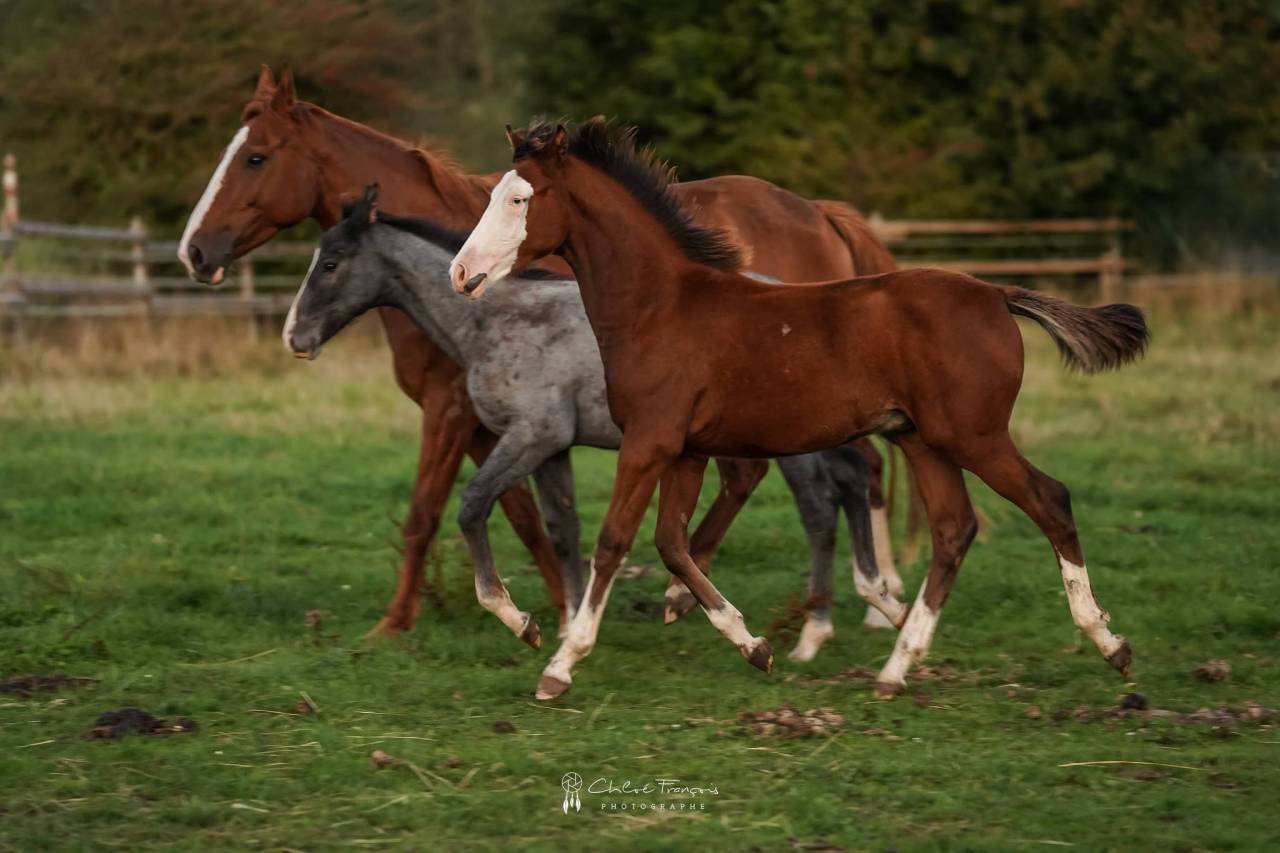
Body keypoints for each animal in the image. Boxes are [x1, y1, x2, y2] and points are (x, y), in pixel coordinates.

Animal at [282, 184, 890, 662]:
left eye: (331, 263)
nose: (295, 336)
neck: (493, 321)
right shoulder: (553, 450)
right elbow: (562, 527)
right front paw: (571, 624)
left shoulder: (533, 434)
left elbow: (473, 506)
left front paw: (524, 623)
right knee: (838, 483)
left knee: (819, 504)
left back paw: (817, 626)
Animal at [450, 119, 1149, 700]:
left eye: (520, 198)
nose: (461, 273)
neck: (662, 306)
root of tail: (996, 293)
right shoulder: (687, 449)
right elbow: (673, 542)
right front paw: (753, 646)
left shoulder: (651, 441)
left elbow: (615, 540)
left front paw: (560, 663)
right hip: (922, 440)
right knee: (954, 531)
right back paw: (896, 668)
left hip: (973, 435)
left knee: (1049, 500)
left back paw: (1109, 644)